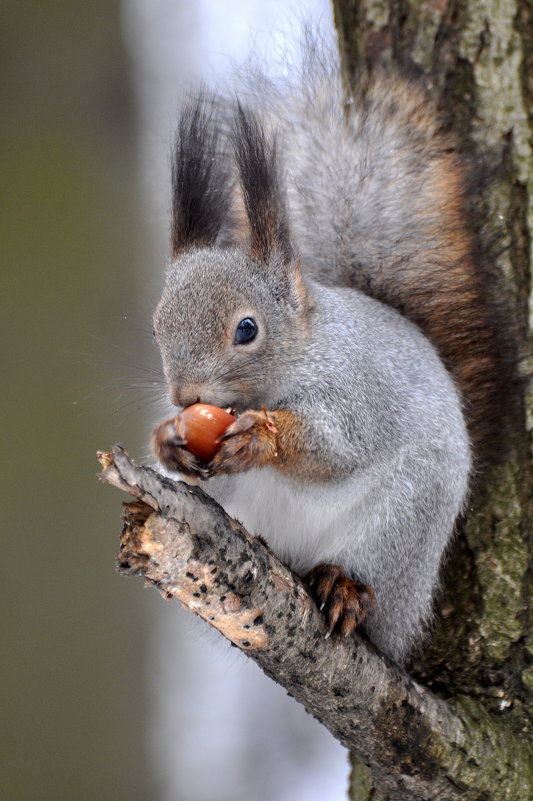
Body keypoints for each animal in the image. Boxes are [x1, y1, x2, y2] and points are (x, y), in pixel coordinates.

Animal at [150, 48, 516, 664]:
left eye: (247, 329)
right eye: (156, 327)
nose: (185, 396)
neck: (299, 354)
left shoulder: (356, 387)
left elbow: (337, 446)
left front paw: (263, 437)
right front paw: (169, 440)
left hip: (403, 524)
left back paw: (346, 588)